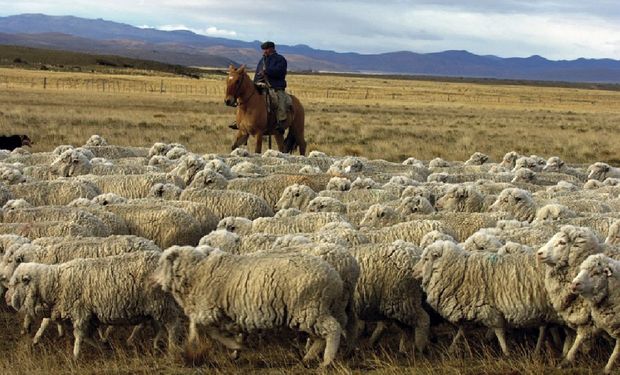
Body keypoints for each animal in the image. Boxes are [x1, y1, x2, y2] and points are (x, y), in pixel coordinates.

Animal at [7, 253, 182, 358]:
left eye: (17, 282)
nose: (6, 299)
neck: (56, 283)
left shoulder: (80, 313)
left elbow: (79, 336)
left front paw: (75, 356)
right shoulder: (89, 316)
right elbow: (87, 336)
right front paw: (103, 348)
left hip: (161, 303)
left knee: (173, 325)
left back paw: (172, 349)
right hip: (155, 307)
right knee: (158, 327)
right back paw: (155, 345)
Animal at [150, 247, 344, 368]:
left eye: (160, 264)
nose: (151, 279)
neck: (196, 273)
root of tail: (335, 278)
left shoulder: (209, 311)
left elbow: (205, 329)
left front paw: (232, 346)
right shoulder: (225, 315)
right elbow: (223, 331)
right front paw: (236, 350)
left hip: (309, 308)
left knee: (333, 330)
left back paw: (326, 362)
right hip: (310, 312)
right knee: (320, 337)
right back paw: (308, 358)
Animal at [414, 242, 560, 356]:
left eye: (426, 259)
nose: (413, 271)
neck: (462, 271)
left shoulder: (490, 311)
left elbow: (499, 332)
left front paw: (506, 353)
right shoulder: (469, 308)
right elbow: (461, 331)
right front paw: (451, 349)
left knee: (545, 328)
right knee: (544, 327)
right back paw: (541, 349)